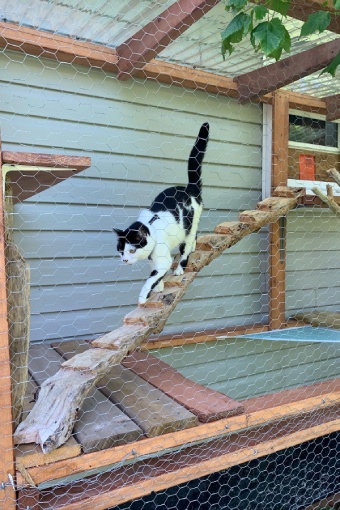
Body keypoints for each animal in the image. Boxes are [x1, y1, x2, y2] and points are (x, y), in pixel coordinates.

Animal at [115, 123, 210, 304]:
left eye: (131, 251)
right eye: (120, 250)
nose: (124, 260)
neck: (151, 229)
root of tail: (190, 189)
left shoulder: (163, 260)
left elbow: (152, 277)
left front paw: (143, 296)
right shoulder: (153, 261)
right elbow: (155, 274)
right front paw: (159, 286)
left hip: (189, 227)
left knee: (186, 247)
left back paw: (180, 267)